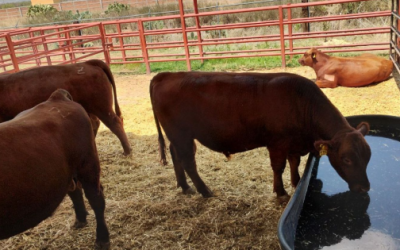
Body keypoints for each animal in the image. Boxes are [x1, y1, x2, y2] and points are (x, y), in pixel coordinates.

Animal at [0, 59, 131, 155]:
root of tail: (86, 63)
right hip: (91, 109)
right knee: (95, 123)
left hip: (101, 107)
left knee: (115, 123)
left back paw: (127, 150)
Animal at [0, 89, 109, 249]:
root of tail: (56, 97)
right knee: (75, 190)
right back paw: (81, 219)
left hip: (88, 165)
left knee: (96, 198)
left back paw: (102, 239)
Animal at [150, 71, 372, 202]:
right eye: (346, 159)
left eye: (368, 158)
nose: (365, 188)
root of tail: (165, 75)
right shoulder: (277, 144)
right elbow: (278, 167)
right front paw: (281, 192)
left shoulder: (293, 144)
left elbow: (294, 162)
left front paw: (296, 182)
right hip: (181, 135)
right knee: (188, 162)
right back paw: (205, 191)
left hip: (179, 137)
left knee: (175, 155)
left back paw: (184, 186)